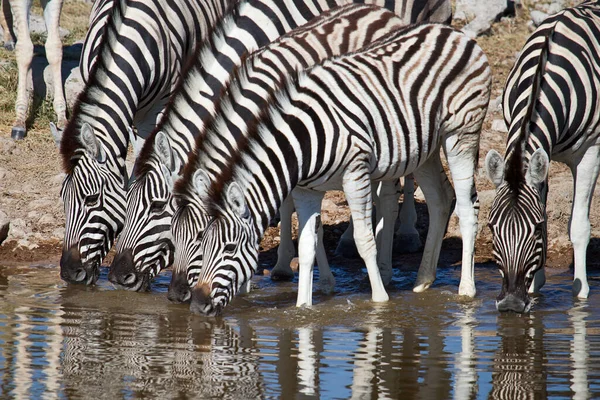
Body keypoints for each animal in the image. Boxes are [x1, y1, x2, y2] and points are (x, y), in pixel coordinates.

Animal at [106, 0, 450, 294]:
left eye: (156, 208)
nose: (118, 276)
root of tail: (384, 15)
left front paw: (320, 281)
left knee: (390, 197)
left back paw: (388, 265)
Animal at [172, 22, 492, 316]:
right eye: (201, 242)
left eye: (227, 249)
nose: (196, 305)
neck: (301, 144)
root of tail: (453, 32)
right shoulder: (306, 191)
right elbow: (306, 246)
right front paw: (303, 307)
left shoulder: (355, 174)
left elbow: (364, 241)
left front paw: (380, 303)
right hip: (425, 148)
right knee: (440, 199)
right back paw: (423, 280)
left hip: (461, 134)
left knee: (466, 207)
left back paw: (466, 290)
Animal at [482, 0, 600, 312]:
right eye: (491, 228)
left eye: (534, 230)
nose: (511, 304)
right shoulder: (539, 155)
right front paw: (536, 284)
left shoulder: (590, 151)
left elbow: (579, 227)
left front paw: (580, 291)